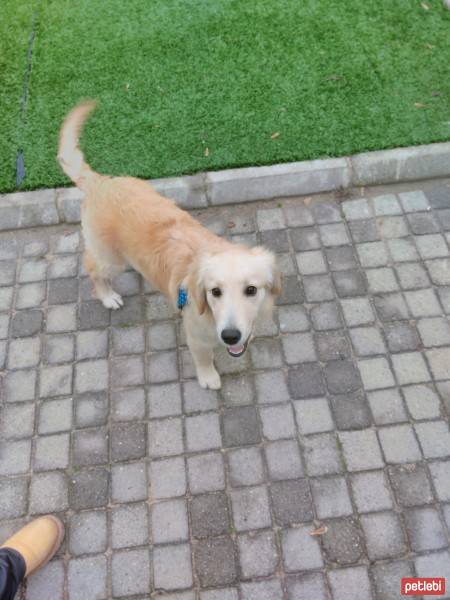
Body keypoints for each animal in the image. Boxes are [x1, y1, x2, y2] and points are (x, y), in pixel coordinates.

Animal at [57, 101, 280, 392]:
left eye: (251, 290)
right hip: (110, 259)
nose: (230, 336)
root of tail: (101, 182)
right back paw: (108, 296)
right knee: (93, 268)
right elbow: (203, 359)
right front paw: (208, 377)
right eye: (215, 292)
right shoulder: (196, 337)